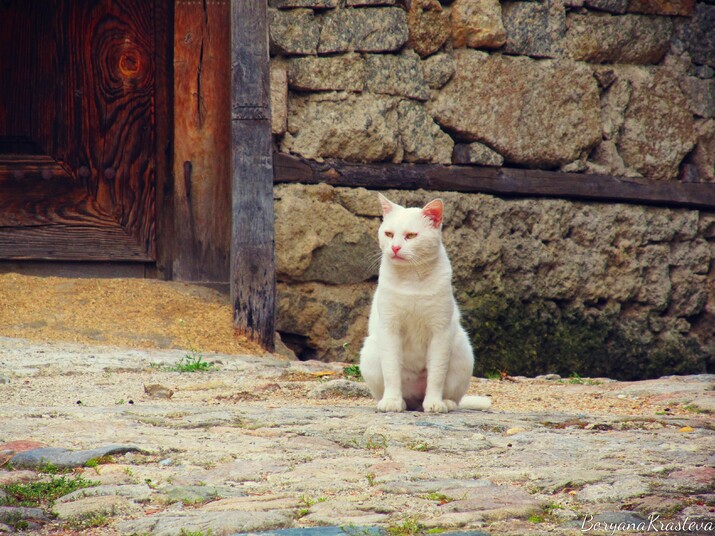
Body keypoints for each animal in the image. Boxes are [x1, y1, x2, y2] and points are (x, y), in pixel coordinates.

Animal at [360, 194, 490, 414]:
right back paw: (399, 402)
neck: (411, 278)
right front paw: (392, 402)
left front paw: (435, 403)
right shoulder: (390, 328)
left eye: (411, 236)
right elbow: (391, 369)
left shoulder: (440, 331)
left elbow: (436, 374)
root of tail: (415, 401)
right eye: (389, 234)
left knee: (453, 397)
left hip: (462, 351)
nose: (395, 247)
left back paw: (444, 403)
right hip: (369, 353)